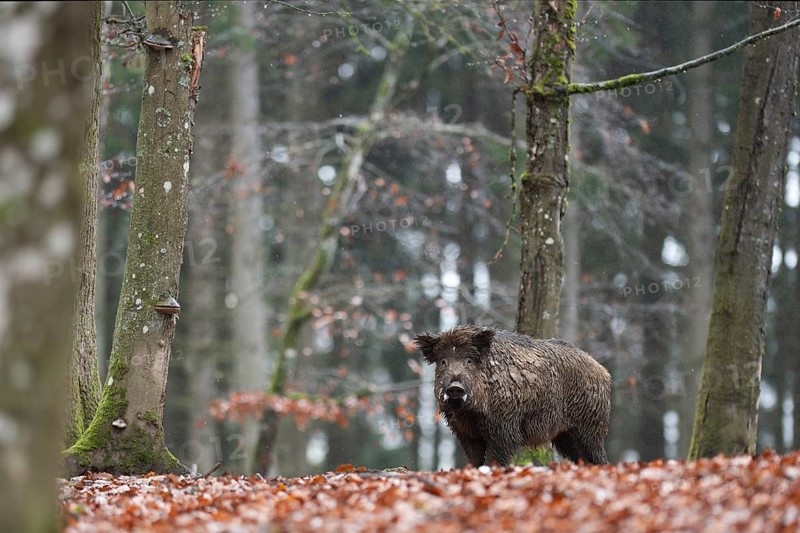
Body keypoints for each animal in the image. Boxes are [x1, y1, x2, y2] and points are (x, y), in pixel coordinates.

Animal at [414, 325, 611, 466]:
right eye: (443, 361)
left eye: (469, 360)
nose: (455, 387)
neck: (471, 412)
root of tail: (604, 372)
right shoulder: (465, 432)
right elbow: (474, 459)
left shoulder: (504, 427)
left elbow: (496, 458)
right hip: (565, 435)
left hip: (589, 426)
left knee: (598, 456)